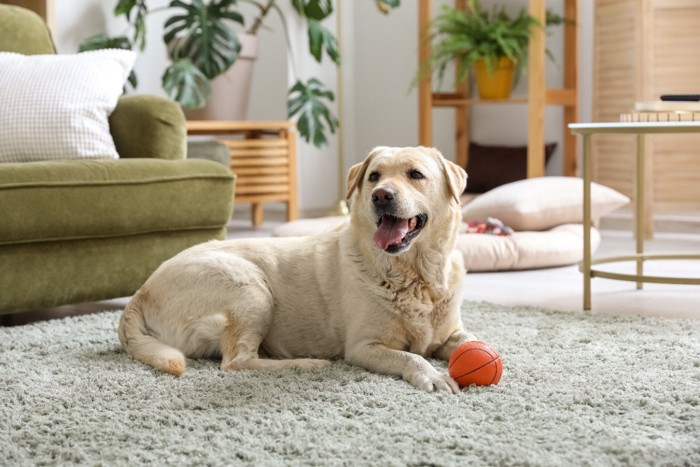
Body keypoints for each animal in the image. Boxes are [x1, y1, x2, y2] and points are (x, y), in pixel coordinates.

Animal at [120, 145, 478, 392]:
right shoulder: (363, 347)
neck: (416, 275)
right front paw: (433, 374)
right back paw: (308, 363)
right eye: (374, 176)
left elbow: (471, 342)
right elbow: (410, 355)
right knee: (237, 362)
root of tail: (141, 290)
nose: (381, 195)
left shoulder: (452, 332)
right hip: (250, 288)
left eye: (415, 174)